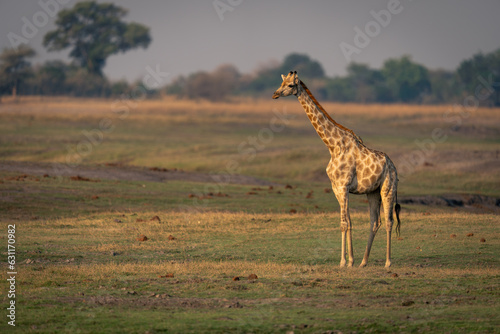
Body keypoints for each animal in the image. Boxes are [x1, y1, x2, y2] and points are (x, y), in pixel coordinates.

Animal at [272, 71, 400, 268]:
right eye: (281, 82)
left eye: (291, 85)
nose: (275, 94)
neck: (333, 146)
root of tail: (393, 166)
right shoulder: (336, 188)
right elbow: (345, 222)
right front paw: (348, 261)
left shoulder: (343, 186)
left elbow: (346, 223)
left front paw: (346, 261)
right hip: (372, 192)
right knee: (375, 221)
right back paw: (364, 262)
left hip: (388, 188)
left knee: (388, 221)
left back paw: (387, 262)